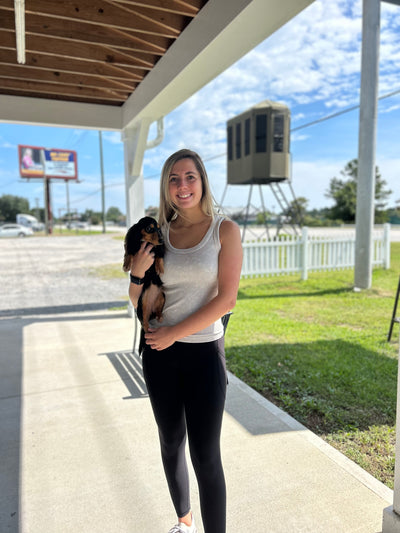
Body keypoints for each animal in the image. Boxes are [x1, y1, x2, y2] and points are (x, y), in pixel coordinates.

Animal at [122, 214, 165, 352]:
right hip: (142, 305)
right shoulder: (133, 245)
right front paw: (126, 264)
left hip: (162, 297)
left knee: (157, 312)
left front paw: (160, 267)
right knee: (144, 323)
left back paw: (159, 316)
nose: (162, 240)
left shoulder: (157, 249)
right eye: (149, 228)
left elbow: (159, 254)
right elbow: (129, 252)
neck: (147, 242)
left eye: (159, 228)